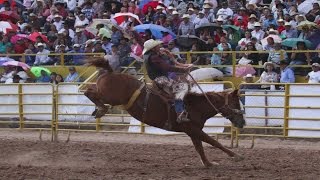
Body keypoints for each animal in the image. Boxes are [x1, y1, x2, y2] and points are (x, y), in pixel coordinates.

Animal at [84, 58, 245, 167]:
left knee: (90, 90)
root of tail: (111, 72)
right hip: (110, 96)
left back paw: (99, 109)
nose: (243, 123)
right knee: (88, 92)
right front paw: (236, 155)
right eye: (236, 103)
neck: (195, 106)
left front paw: (208, 163)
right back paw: (102, 109)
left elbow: (199, 147)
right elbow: (213, 141)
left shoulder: (193, 131)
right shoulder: (193, 129)